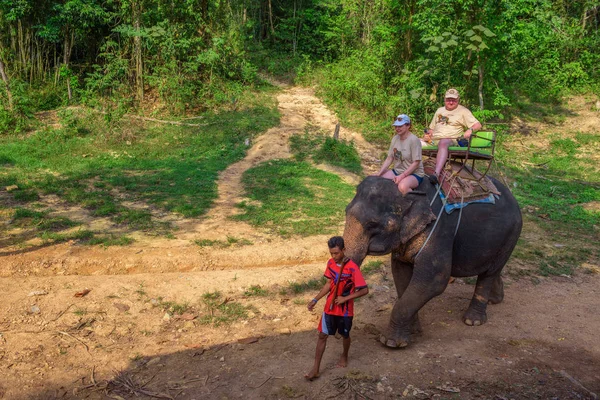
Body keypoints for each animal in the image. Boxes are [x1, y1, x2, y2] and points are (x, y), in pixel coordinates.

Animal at [344, 175, 524, 346]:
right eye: (345, 211)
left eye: (372, 224)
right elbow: (400, 273)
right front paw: (414, 331)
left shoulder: (438, 231)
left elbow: (434, 279)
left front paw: (391, 342)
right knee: (492, 270)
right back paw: (495, 300)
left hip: (511, 235)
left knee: (489, 273)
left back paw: (473, 321)